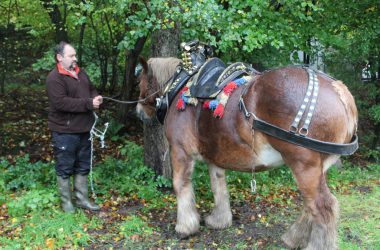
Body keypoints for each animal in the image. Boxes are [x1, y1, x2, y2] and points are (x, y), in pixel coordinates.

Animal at [137, 56, 360, 250]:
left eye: (139, 81)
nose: (139, 112)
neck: (179, 87)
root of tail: (340, 91)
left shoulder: (180, 151)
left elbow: (181, 185)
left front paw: (185, 227)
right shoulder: (215, 156)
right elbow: (218, 186)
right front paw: (219, 220)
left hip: (304, 164)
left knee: (323, 206)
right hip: (320, 166)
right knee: (310, 204)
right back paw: (294, 237)